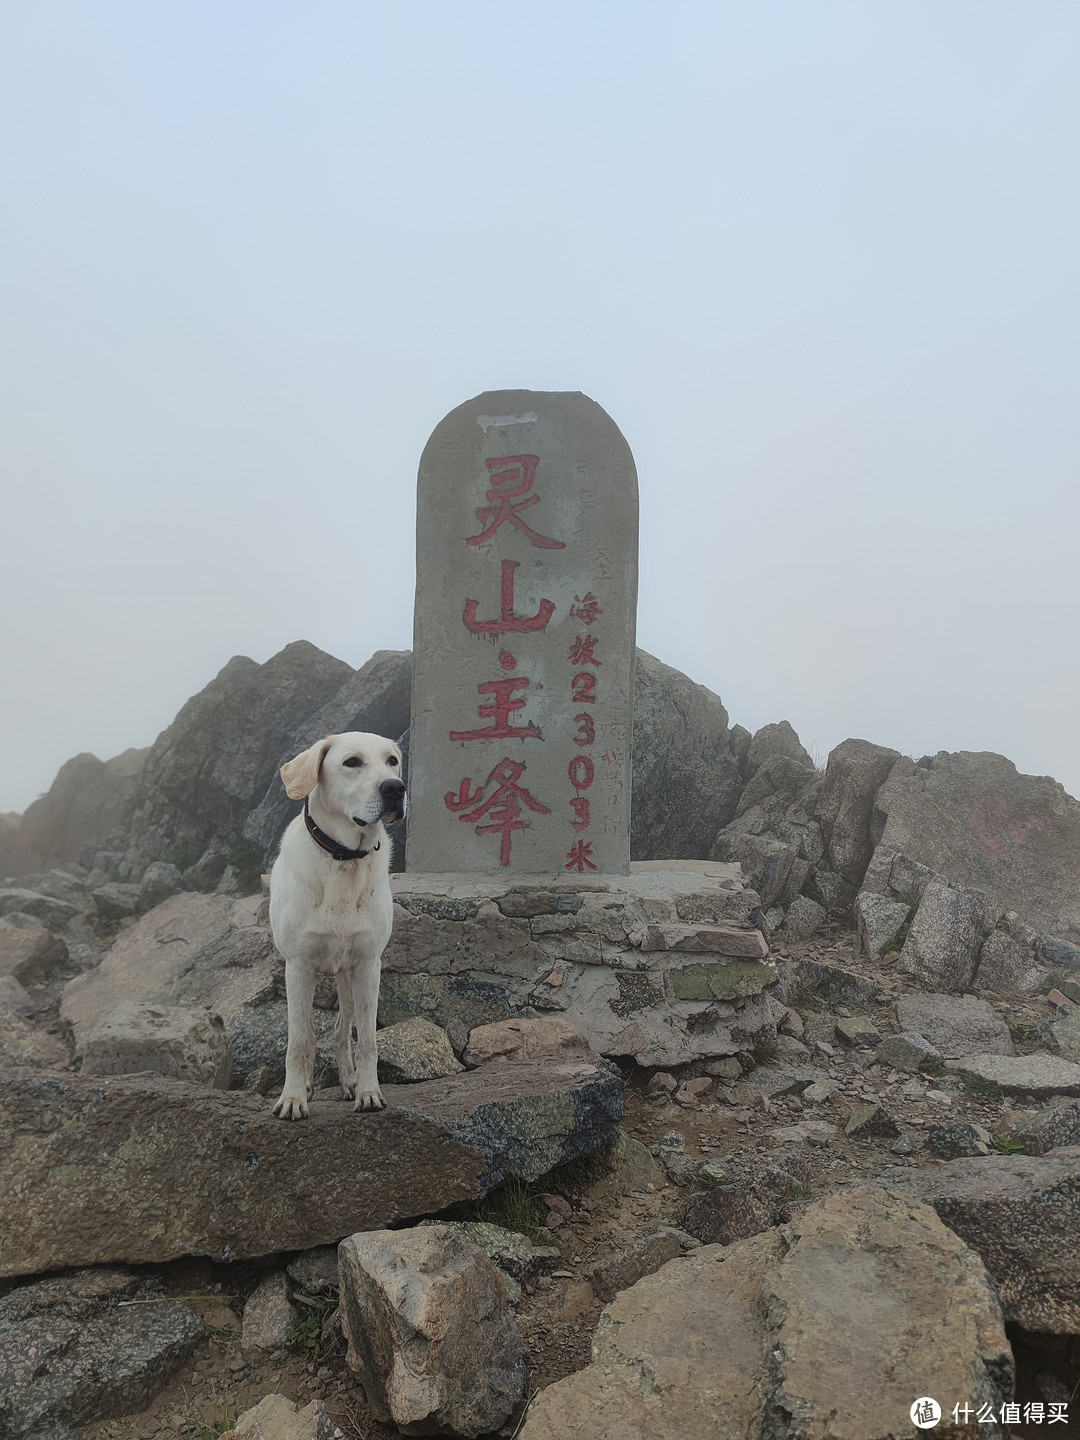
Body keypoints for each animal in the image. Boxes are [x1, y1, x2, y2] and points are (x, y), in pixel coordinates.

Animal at [269, 731, 408, 1123]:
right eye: (352, 762)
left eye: (392, 760)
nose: (396, 788)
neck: (343, 857)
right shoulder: (298, 966)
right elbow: (299, 1040)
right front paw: (292, 1099)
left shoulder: (368, 965)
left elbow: (368, 1039)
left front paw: (368, 1092)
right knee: (311, 1033)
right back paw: (308, 1086)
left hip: (345, 977)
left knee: (341, 1030)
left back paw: (348, 1081)